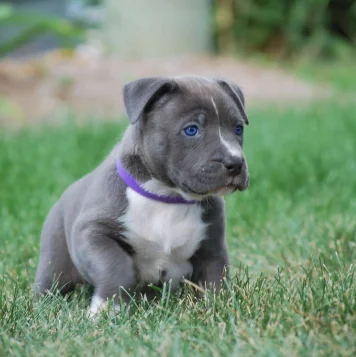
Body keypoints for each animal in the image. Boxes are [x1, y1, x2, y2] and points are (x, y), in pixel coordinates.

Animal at [34, 76, 250, 314]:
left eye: (238, 129)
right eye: (191, 130)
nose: (235, 163)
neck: (168, 196)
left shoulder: (212, 246)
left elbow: (215, 278)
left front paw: (217, 308)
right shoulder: (91, 232)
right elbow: (117, 266)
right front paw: (105, 309)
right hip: (54, 257)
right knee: (49, 283)